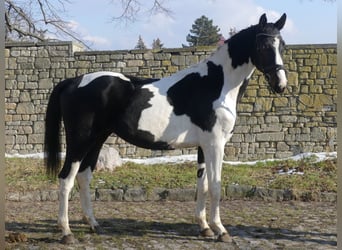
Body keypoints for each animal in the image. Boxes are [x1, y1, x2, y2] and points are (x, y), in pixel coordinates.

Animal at [44, 12, 288, 243]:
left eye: (282, 45)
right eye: (263, 46)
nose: (281, 84)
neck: (216, 84)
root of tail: (73, 81)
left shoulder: (204, 146)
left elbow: (203, 185)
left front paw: (205, 228)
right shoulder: (215, 144)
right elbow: (216, 186)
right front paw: (221, 230)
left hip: (98, 138)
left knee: (84, 177)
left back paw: (94, 224)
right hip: (80, 140)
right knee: (66, 178)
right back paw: (66, 232)